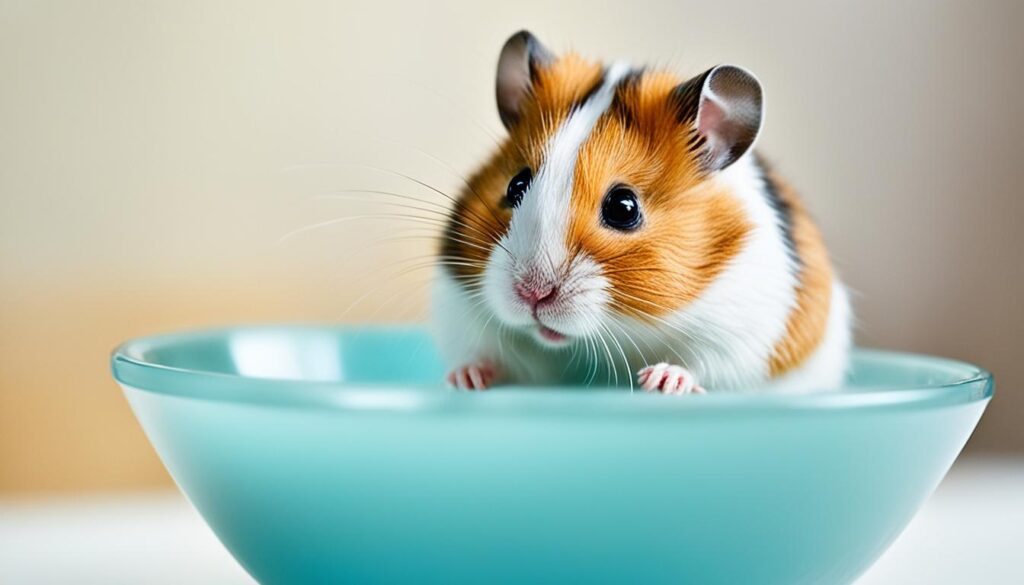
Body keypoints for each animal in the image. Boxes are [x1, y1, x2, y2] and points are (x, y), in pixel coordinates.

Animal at [431, 30, 852, 394]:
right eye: (515, 185)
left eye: (623, 208)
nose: (532, 294)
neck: (618, 329)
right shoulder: (461, 308)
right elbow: (488, 354)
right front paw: (465, 379)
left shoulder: (744, 330)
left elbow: (702, 363)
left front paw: (659, 381)